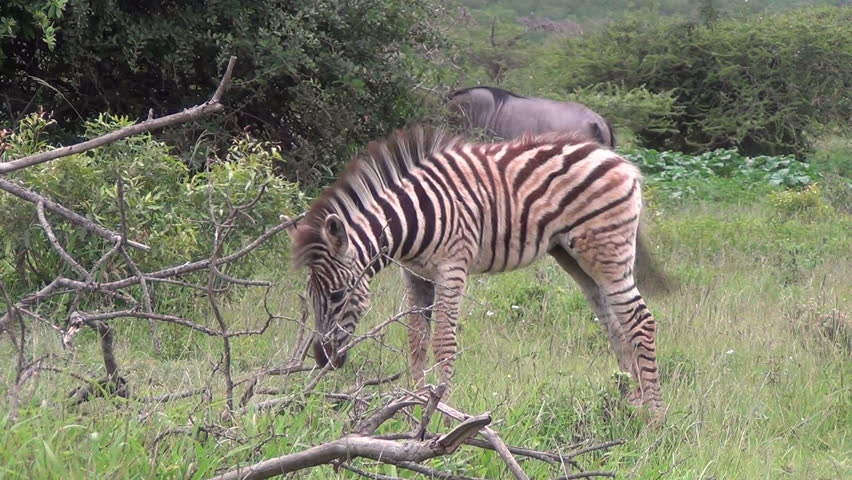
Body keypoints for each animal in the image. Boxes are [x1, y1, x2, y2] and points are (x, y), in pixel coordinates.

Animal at [285, 126, 666, 422]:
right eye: (310, 297)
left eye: (337, 295)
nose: (323, 359)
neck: (412, 220)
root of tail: (619, 160)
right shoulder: (415, 275)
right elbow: (416, 340)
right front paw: (413, 405)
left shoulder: (452, 267)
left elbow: (443, 341)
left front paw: (441, 412)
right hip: (575, 257)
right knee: (616, 325)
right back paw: (630, 403)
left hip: (608, 251)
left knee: (641, 321)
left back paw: (654, 418)